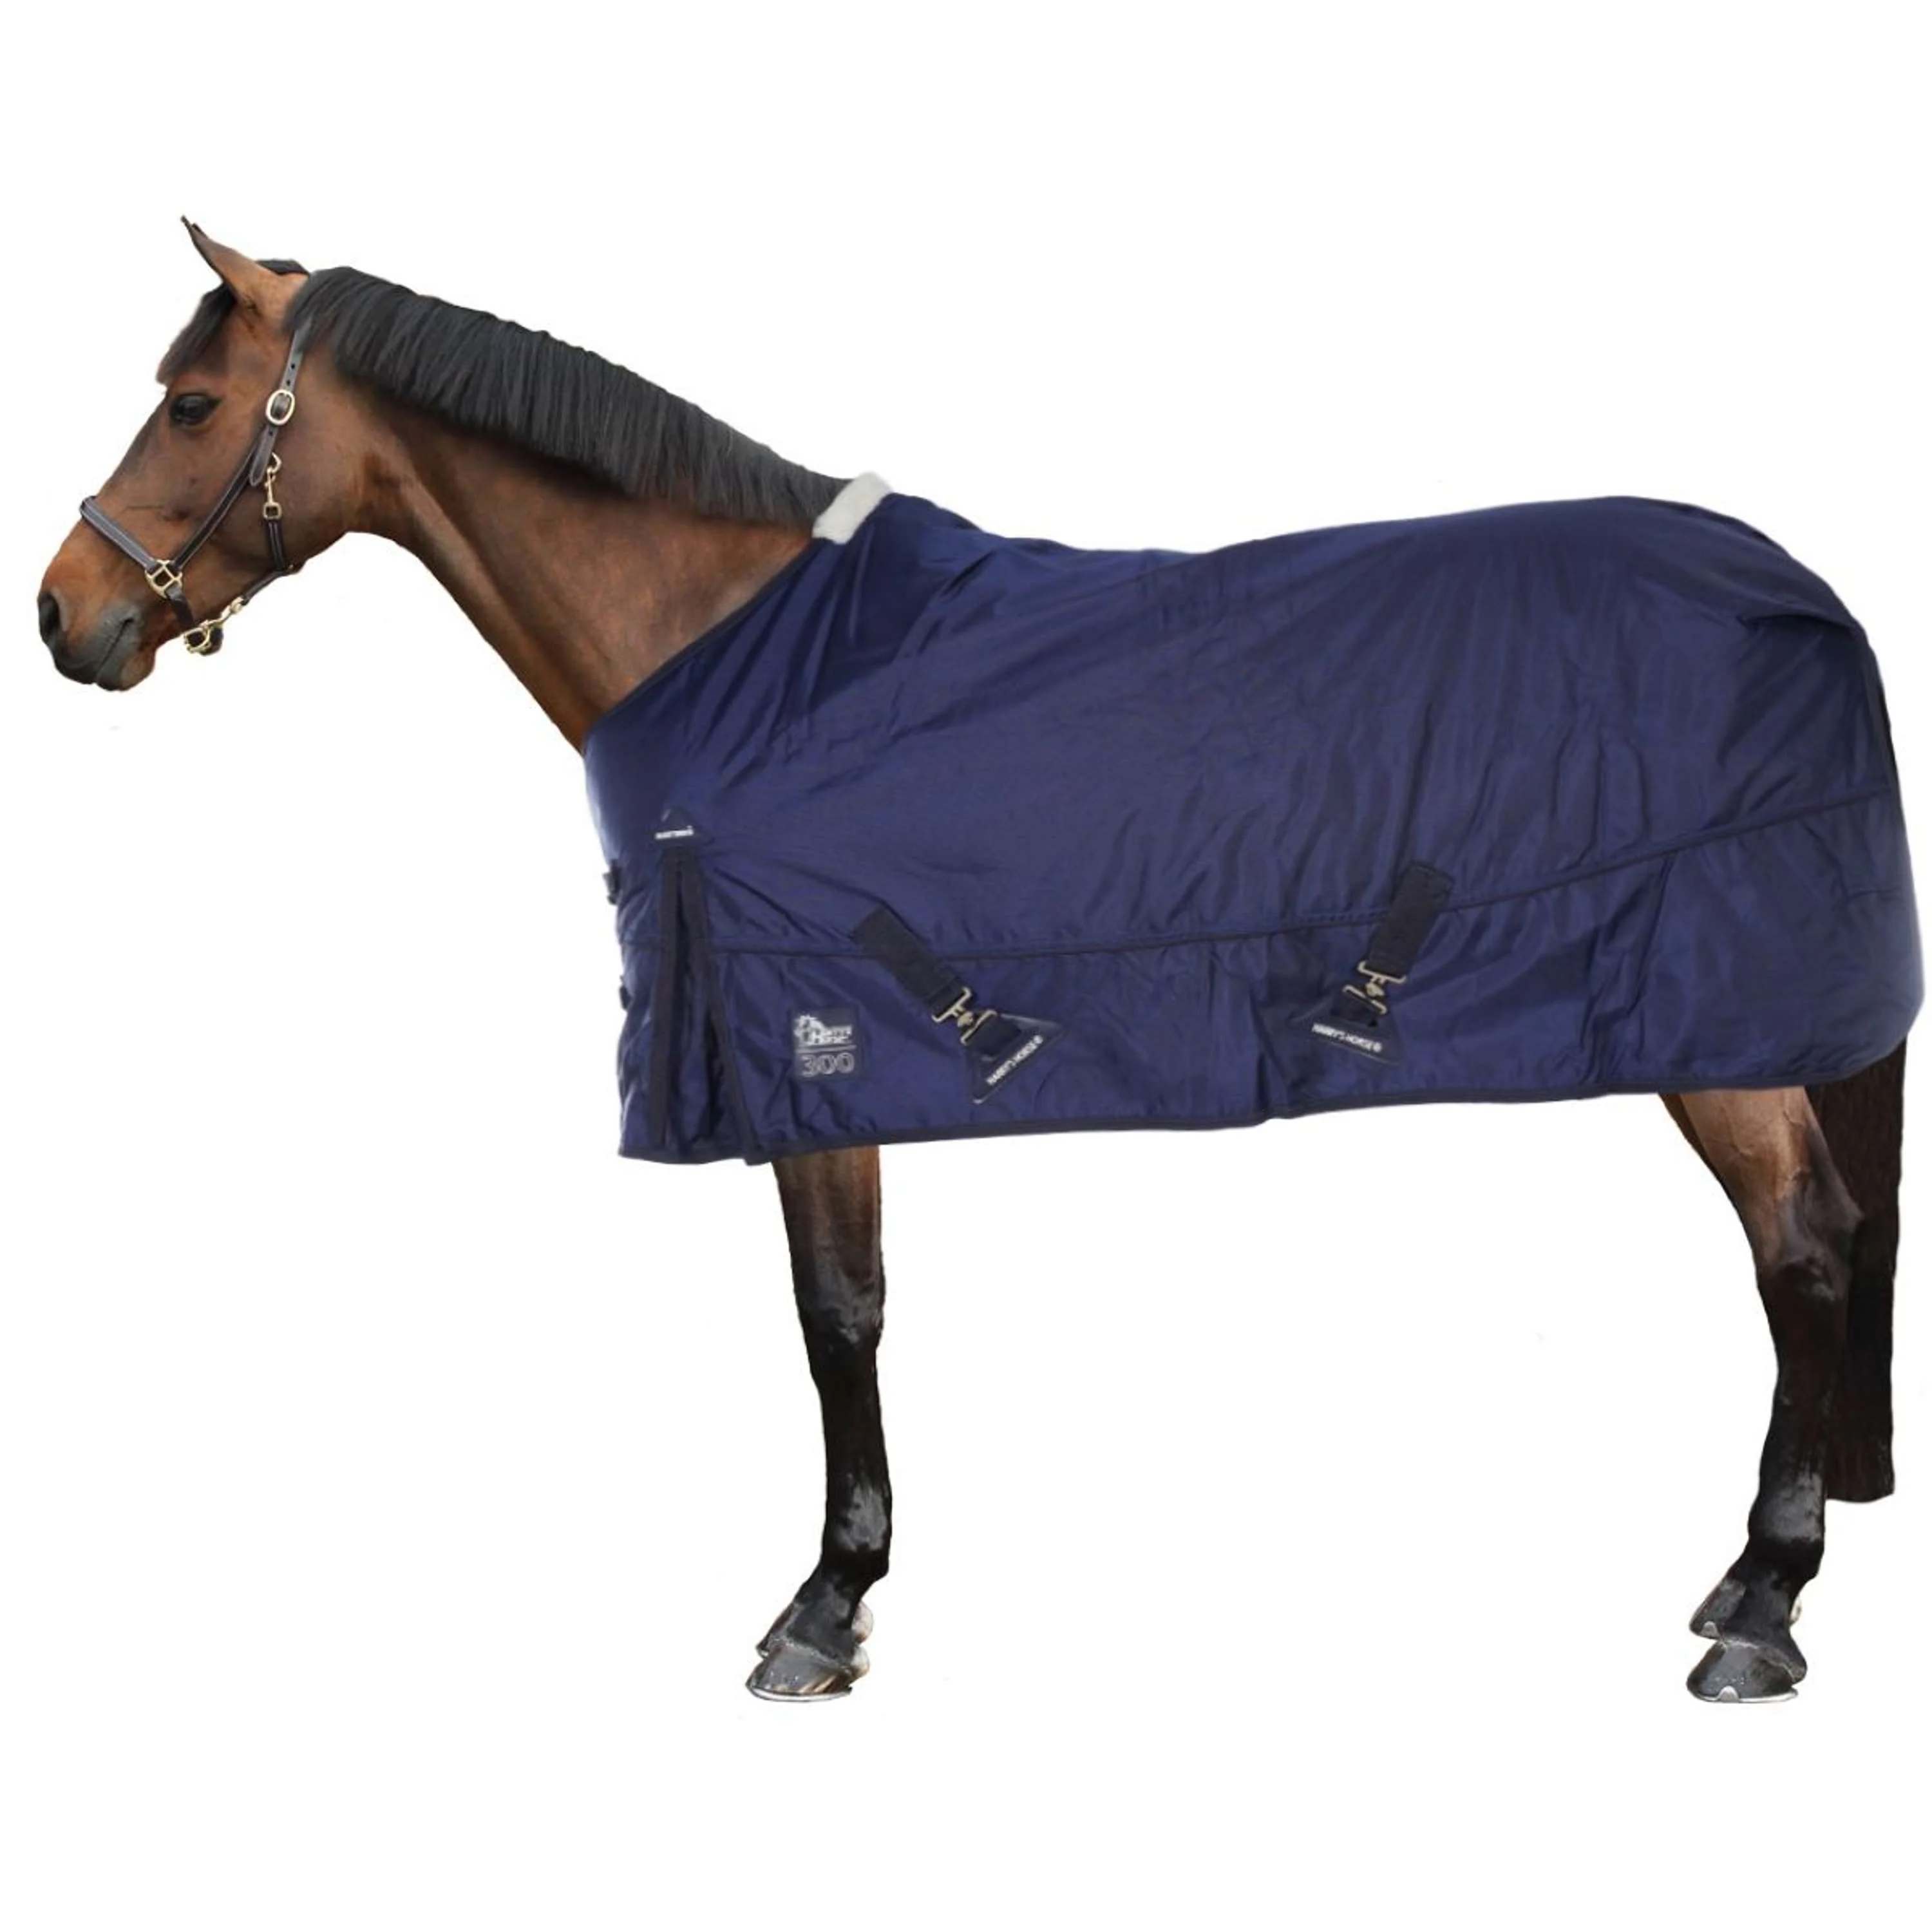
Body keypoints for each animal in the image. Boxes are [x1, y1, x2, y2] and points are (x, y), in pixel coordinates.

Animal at [36, 223, 1914, 1704]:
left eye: (192, 405)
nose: (64, 615)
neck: (757, 658)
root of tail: (1799, 592)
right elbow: (850, 1306)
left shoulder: (808, 1037)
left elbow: (836, 1313)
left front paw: (824, 1605)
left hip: (1719, 1020)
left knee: (1804, 1247)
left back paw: (1762, 1604)